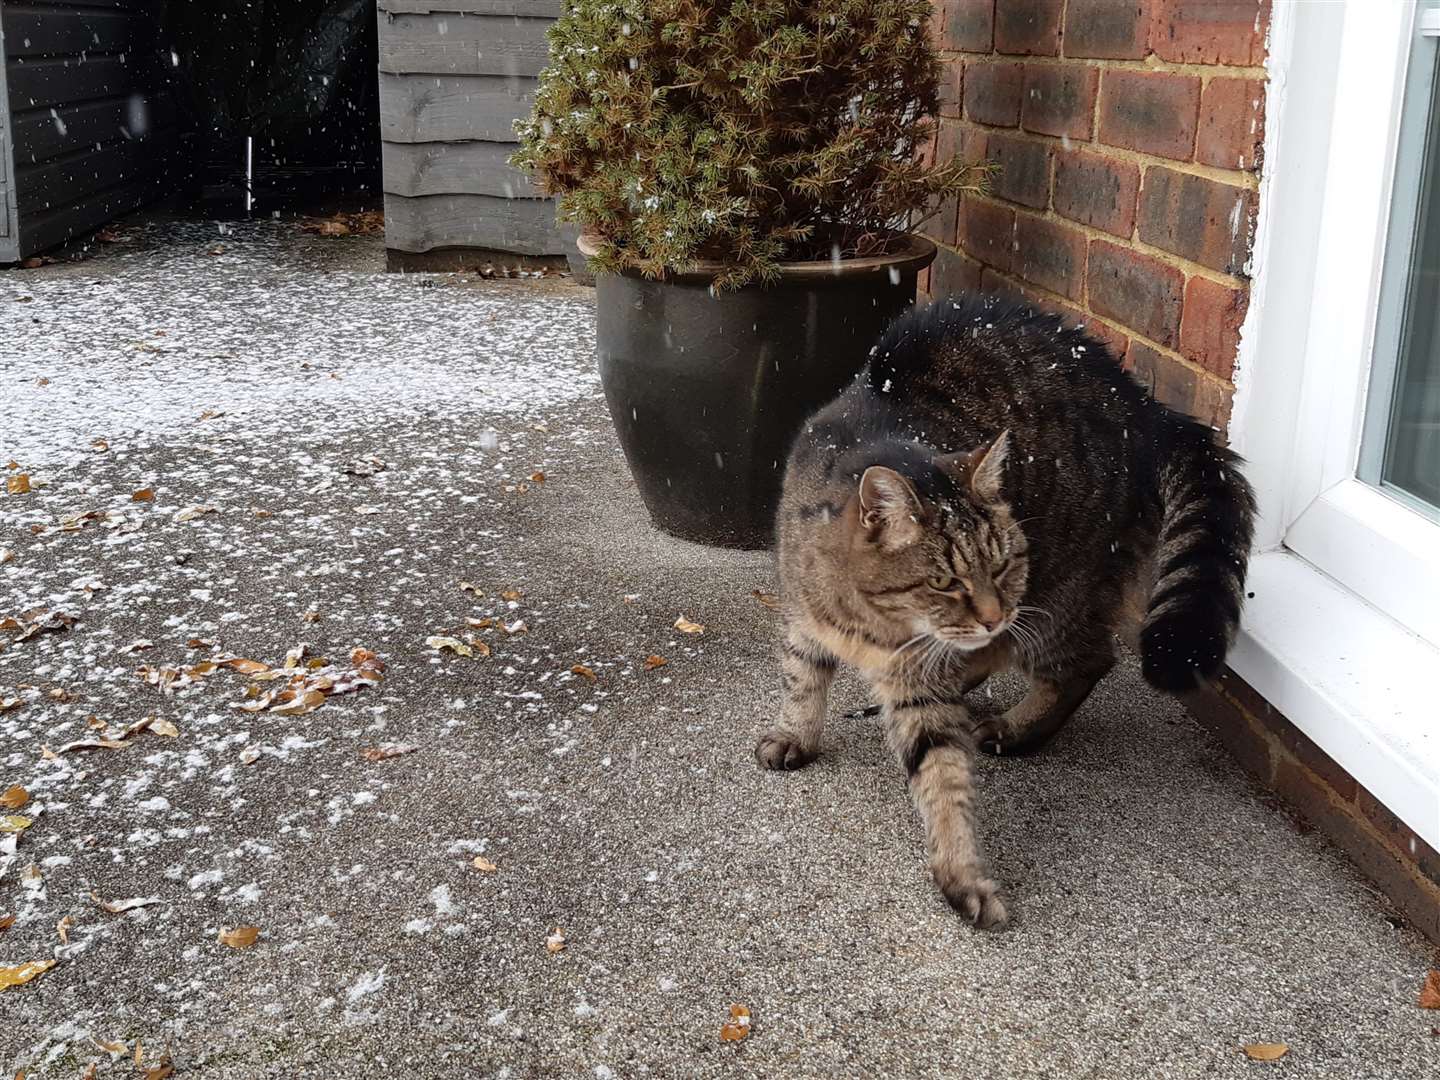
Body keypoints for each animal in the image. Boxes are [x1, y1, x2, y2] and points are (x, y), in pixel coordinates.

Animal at [760, 296, 1255, 933]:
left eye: (1001, 565)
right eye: (945, 582)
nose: (992, 612)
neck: (871, 623)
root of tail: (1144, 407)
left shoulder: (925, 677)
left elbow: (942, 774)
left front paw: (960, 876)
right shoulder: (804, 621)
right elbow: (802, 682)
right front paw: (794, 734)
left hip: (1057, 594)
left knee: (1085, 660)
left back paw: (1018, 728)